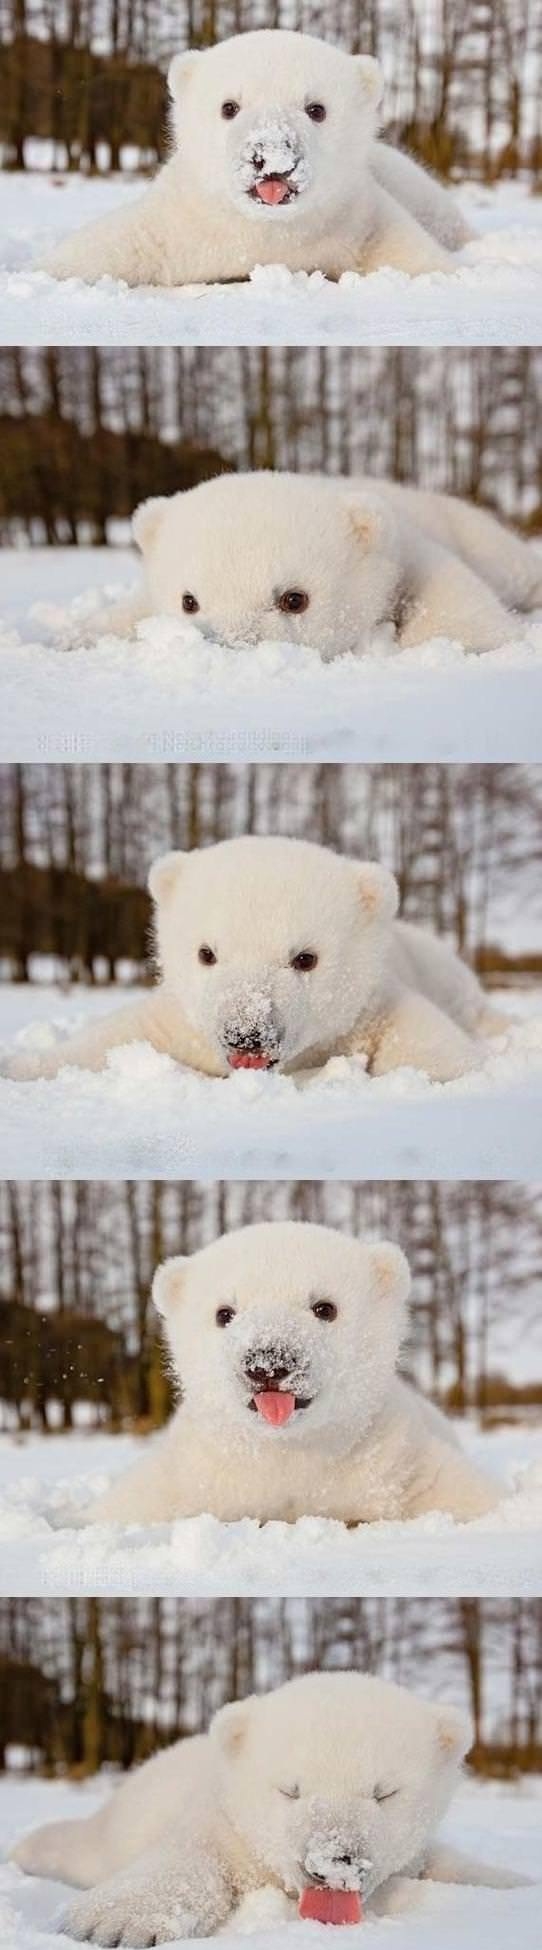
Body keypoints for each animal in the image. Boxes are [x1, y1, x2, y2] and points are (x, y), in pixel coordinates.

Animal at [4, 836, 511, 1085]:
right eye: (206, 953)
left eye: (305, 958)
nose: (246, 1035)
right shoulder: (182, 1022)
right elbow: (115, 1038)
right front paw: (21, 1066)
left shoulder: (370, 1010)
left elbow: (431, 1047)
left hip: (439, 966)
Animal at [12, 1670, 528, 1947]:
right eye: (289, 1789)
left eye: (384, 1792)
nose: (332, 1862)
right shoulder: (221, 1823)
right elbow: (189, 1858)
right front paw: (112, 1922)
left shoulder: (416, 1852)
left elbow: (446, 1862)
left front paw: (515, 1883)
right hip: (118, 1822)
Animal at [38, 30, 471, 288]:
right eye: (229, 106)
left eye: (316, 108)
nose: (272, 156)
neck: (265, 233)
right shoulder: (176, 224)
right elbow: (106, 247)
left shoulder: (360, 221)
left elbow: (418, 258)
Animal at [85, 474, 541, 658]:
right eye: (188, 601)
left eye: (294, 599)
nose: (232, 647)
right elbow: (127, 614)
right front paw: (78, 635)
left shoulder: (410, 551)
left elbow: (456, 609)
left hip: (472, 532)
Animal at [87, 1221, 501, 1527]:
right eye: (224, 1313)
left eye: (324, 1307)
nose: (267, 1363)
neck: (287, 1451)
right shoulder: (193, 1475)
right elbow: (134, 1504)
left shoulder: (396, 1462)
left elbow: (464, 1495)